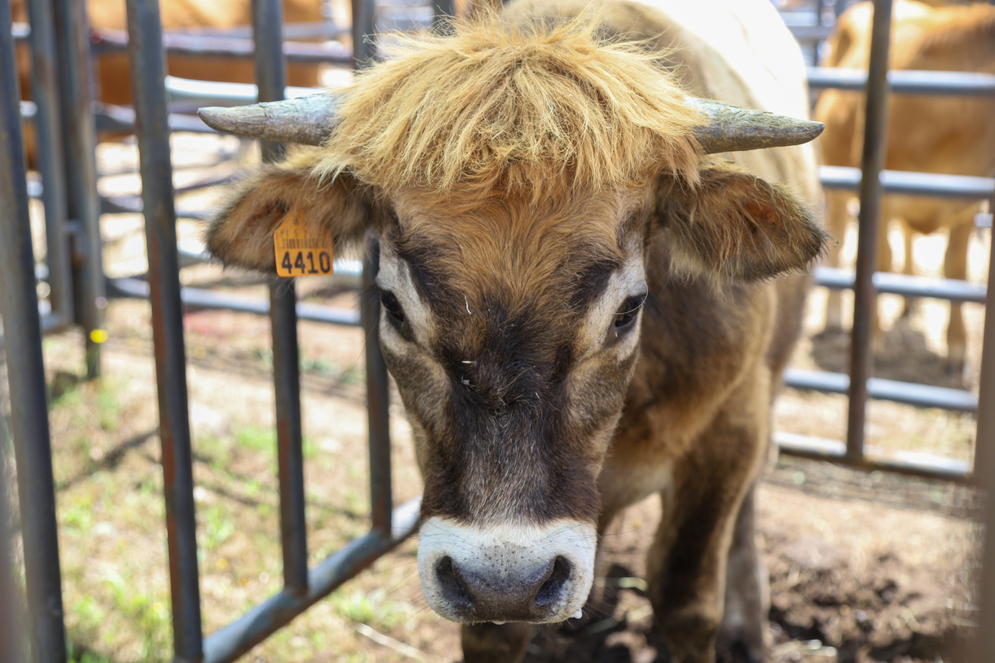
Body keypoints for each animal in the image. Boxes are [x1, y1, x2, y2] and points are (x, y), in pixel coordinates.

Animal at [198, 1, 827, 661]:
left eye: (628, 310)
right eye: (393, 307)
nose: (505, 581)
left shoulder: (730, 430)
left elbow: (686, 599)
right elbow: (493, 631)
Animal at [816, 0, 995, 374]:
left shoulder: (970, 203)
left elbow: (956, 269)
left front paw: (957, 349)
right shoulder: (881, 198)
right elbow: (878, 262)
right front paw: (872, 343)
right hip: (837, 179)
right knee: (840, 238)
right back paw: (834, 317)